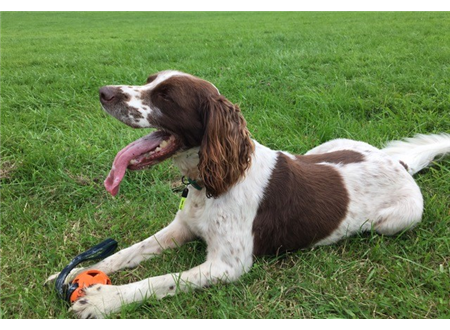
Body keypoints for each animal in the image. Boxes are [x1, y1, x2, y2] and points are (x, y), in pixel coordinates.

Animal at [47, 71, 448, 318]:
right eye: (148, 81)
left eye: (166, 95)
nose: (104, 93)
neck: (211, 185)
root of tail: (398, 163)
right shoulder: (181, 227)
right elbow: (128, 252)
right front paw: (75, 271)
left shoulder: (228, 265)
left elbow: (161, 280)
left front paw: (104, 300)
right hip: (328, 146)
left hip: (396, 221)